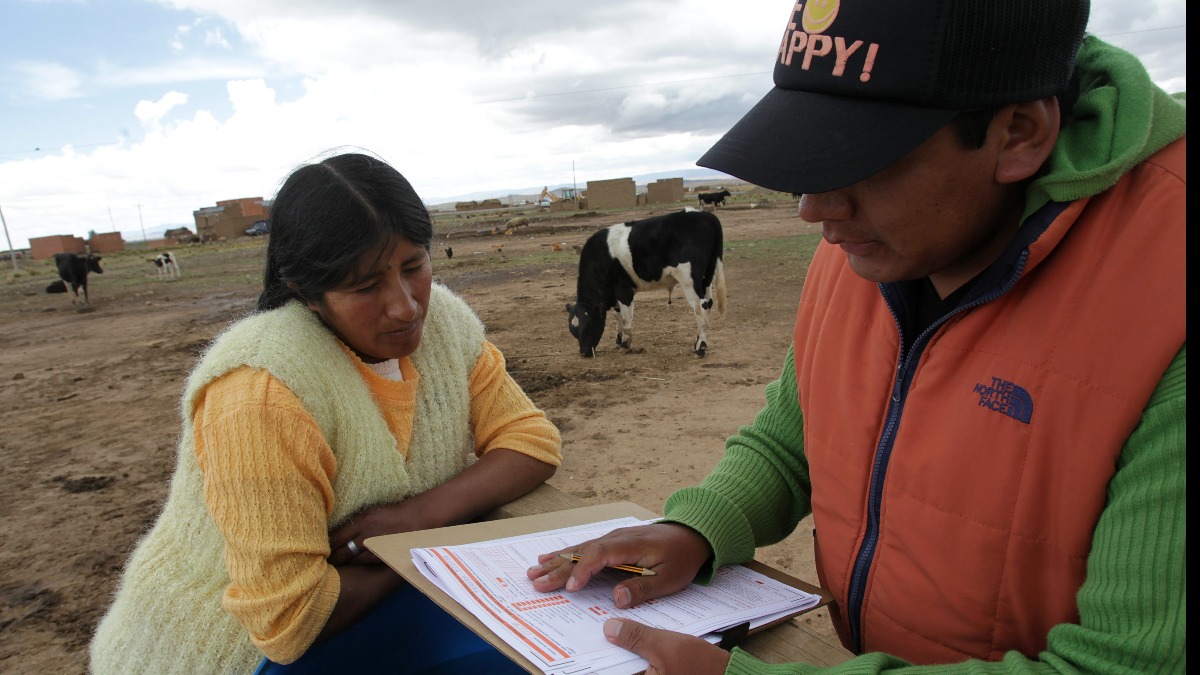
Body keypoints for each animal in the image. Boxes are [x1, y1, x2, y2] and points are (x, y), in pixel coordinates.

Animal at [566, 208, 724, 357]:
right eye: (574, 331)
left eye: (589, 325)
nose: (584, 353)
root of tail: (705, 215)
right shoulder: (615, 295)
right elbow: (618, 317)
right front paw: (618, 341)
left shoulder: (624, 292)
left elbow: (626, 319)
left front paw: (625, 344)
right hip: (706, 277)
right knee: (708, 303)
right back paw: (698, 342)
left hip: (688, 279)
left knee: (701, 307)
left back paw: (700, 347)